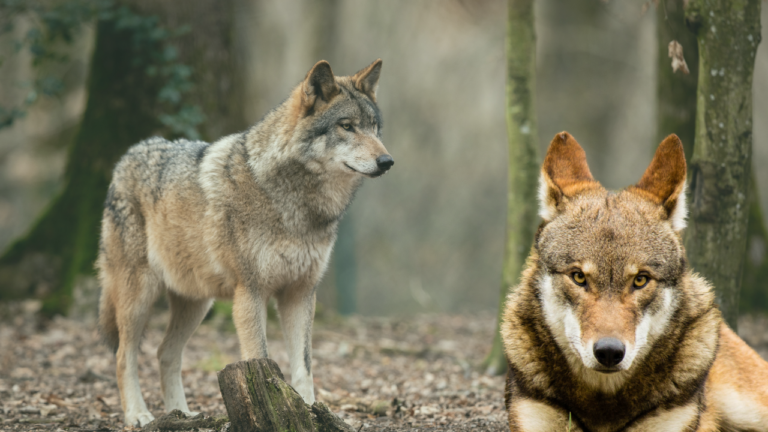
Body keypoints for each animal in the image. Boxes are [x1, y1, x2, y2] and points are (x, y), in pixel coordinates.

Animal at [96, 59, 392, 427]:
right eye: (347, 126)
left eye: (375, 128)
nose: (387, 162)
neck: (297, 205)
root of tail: (128, 155)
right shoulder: (251, 293)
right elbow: (260, 358)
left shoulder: (300, 293)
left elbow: (304, 367)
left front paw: (309, 412)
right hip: (139, 297)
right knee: (124, 355)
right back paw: (138, 414)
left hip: (196, 303)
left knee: (165, 353)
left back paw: (182, 414)